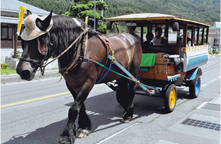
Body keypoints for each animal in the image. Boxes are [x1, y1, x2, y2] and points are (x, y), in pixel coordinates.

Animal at [16, 9, 142, 143]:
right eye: (23, 41)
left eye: (40, 41)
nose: (22, 71)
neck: (81, 50)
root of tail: (132, 37)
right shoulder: (71, 83)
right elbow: (80, 106)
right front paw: (84, 127)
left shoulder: (88, 82)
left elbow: (73, 108)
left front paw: (67, 136)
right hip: (121, 73)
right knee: (123, 87)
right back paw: (125, 109)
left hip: (133, 71)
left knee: (132, 88)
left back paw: (128, 114)